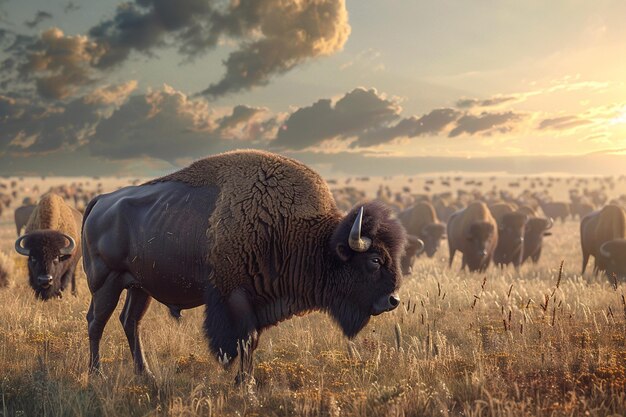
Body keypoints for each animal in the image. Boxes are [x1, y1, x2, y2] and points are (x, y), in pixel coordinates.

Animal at [81, 150, 404, 380]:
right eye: (375, 260)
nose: (393, 300)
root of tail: (102, 200)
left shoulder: (257, 304)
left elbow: (252, 342)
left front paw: (243, 382)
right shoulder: (235, 297)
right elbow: (244, 341)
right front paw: (245, 386)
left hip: (140, 287)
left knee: (130, 321)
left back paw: (145, 375)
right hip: (107, 282)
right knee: (97, 321)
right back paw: (97, 375)